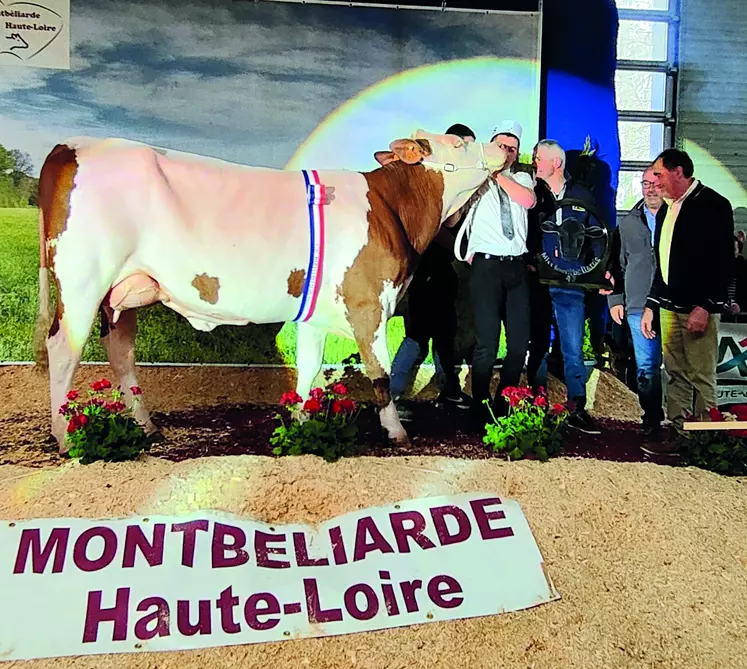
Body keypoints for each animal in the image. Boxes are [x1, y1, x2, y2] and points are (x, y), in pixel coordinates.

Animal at [30, 130, 508, 454]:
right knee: (64, 350)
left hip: (121, 292)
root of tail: (71, 146)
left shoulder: (317, 312)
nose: (506, 146)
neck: (392, 207)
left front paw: (299, 421)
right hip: (82, 281)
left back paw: (147, 427)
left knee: (121, 351)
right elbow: (381, 373)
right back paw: (65, 436)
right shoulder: (368, 301)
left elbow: (309, 367)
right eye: (460, 142)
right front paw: (396, 431)